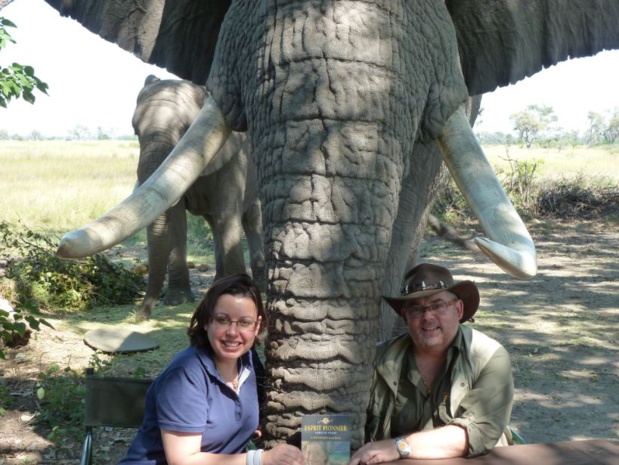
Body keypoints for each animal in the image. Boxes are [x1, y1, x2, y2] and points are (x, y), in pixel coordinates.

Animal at [133, 75, 264, 320]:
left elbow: (227, 212)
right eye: (135, 131)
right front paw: (177, 301)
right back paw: (218, 284)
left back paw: (260, 284)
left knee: (252, 221)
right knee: (215, 225)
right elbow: (176, 221)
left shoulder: (233, 157)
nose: (140, 316)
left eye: (186, 129)